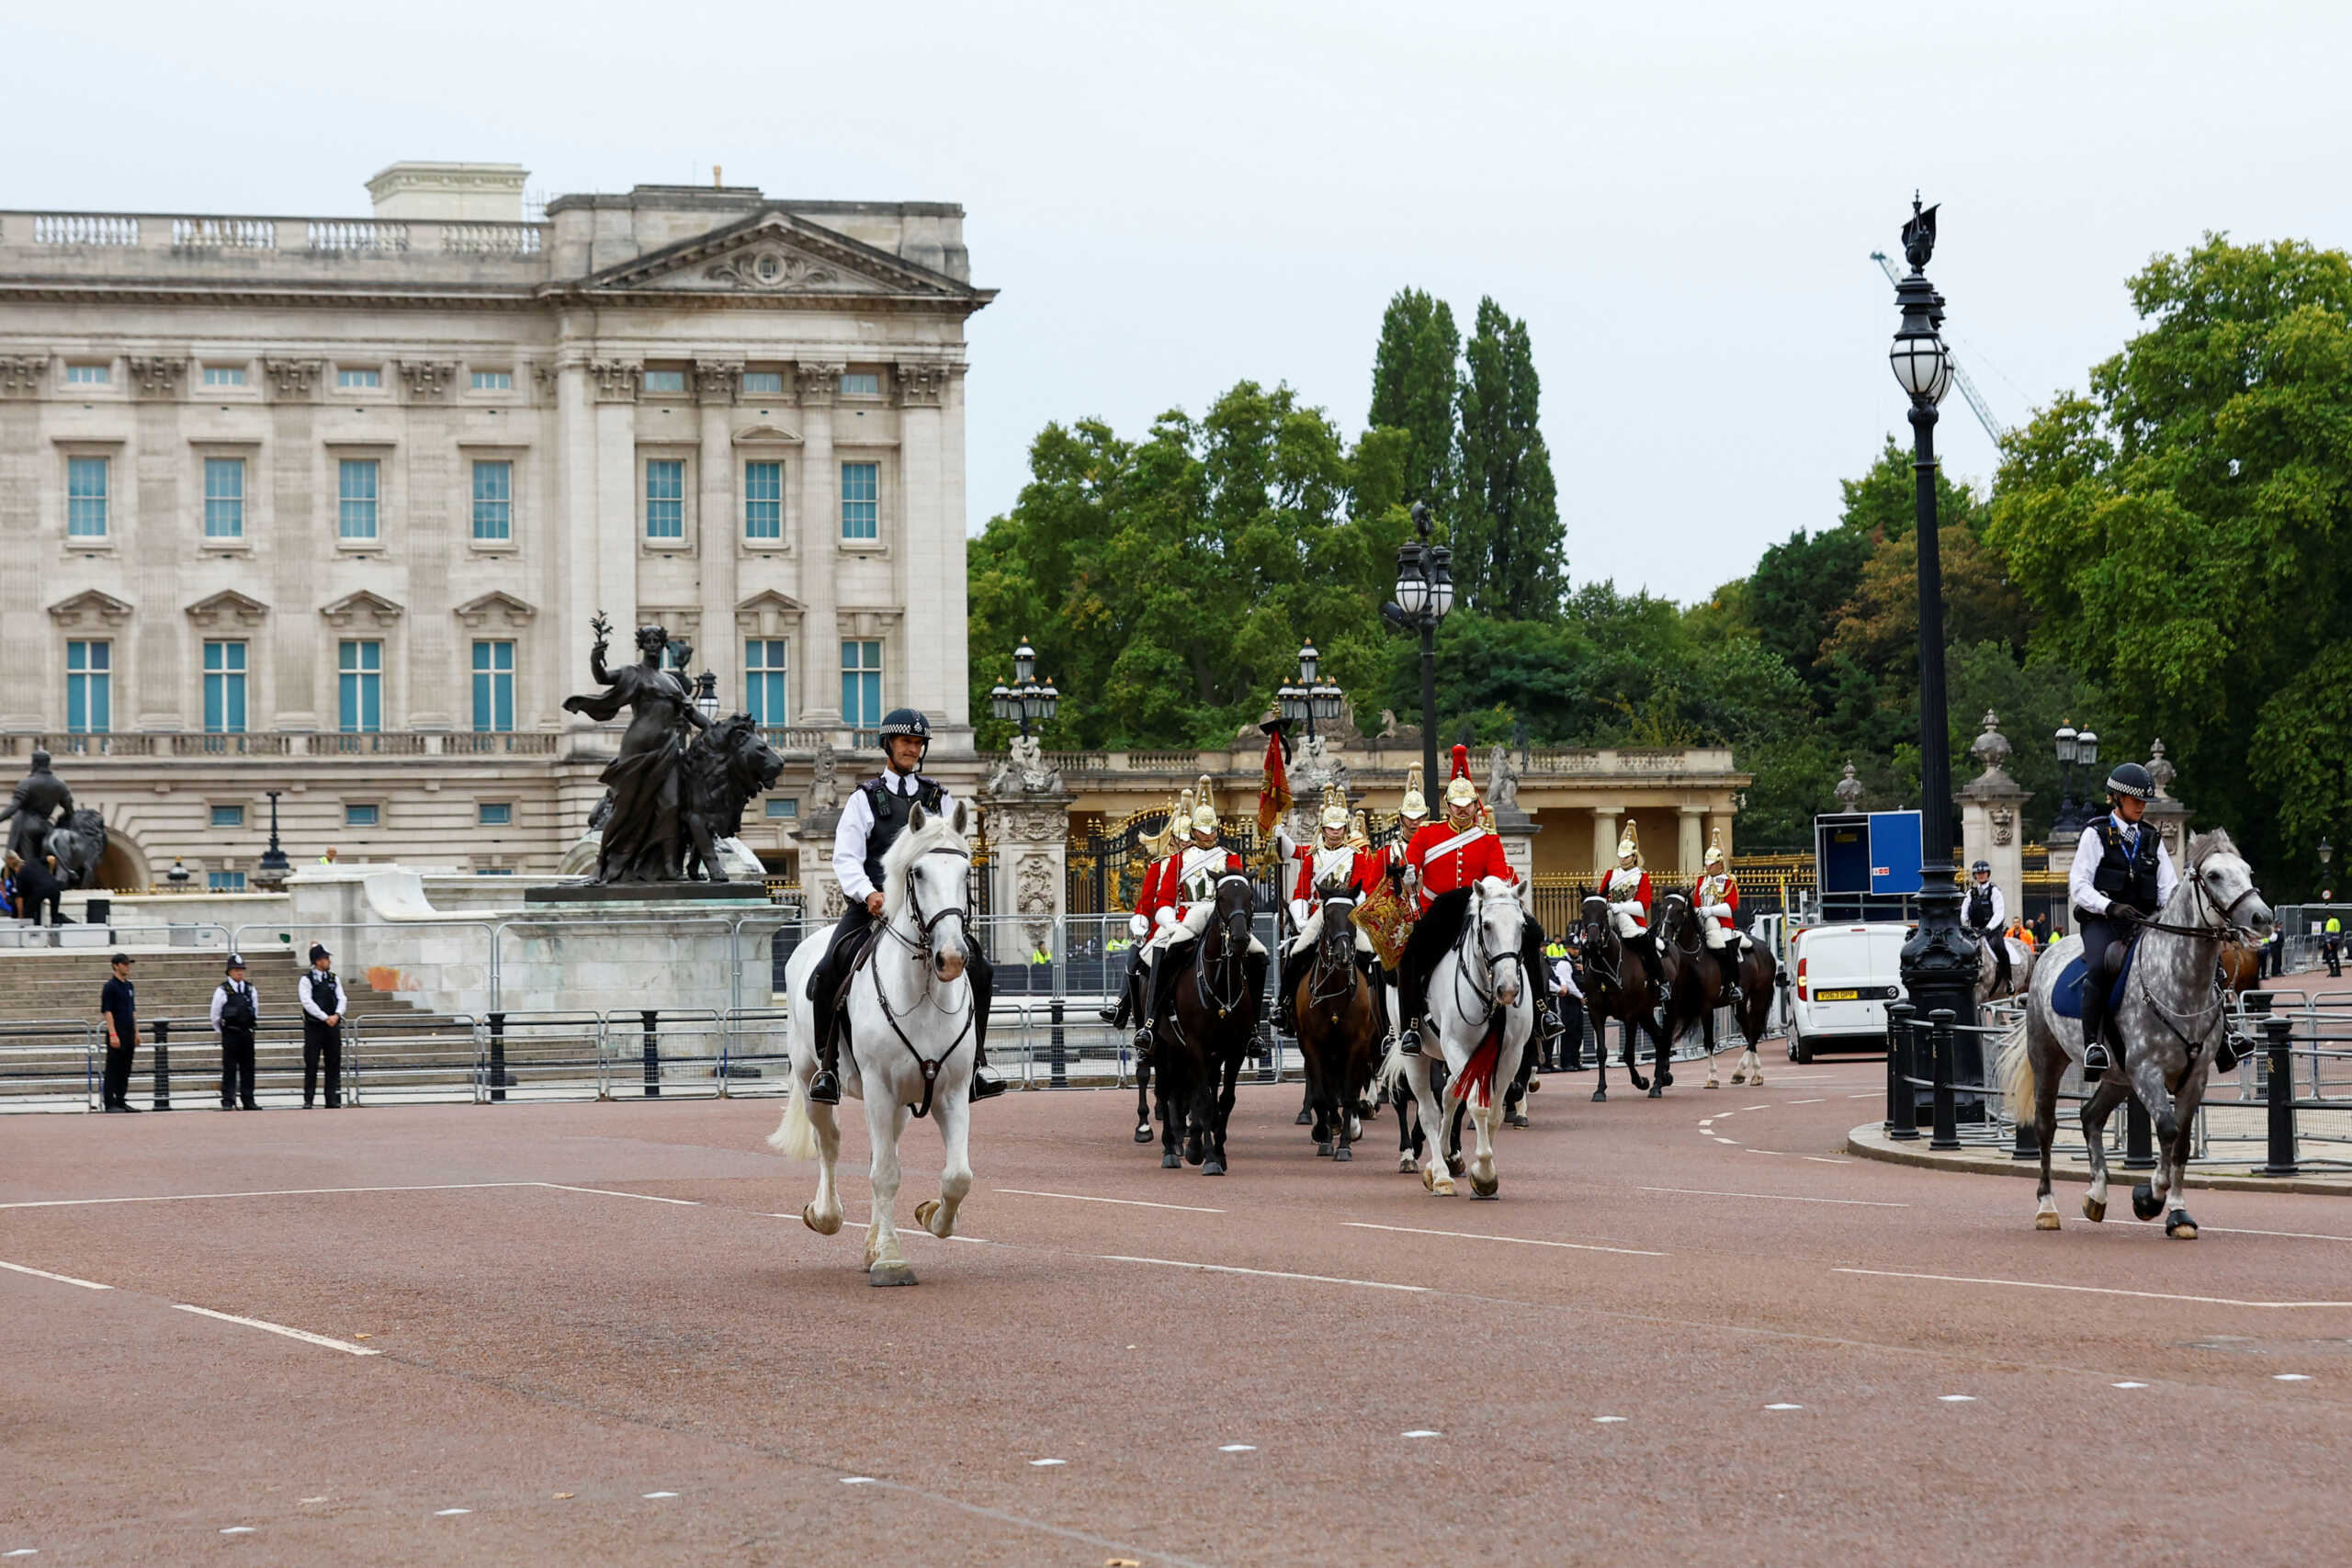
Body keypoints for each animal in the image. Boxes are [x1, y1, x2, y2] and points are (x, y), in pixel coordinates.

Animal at [771, 799, 973, 1288]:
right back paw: (826, 1215)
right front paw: (892, 1261)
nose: (951, 958)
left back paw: (873, 1242)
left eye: (966, 870)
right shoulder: (879, 1090)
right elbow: (884, 1174)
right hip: (813, 1079)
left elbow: (957, 1175)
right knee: (830, 1144)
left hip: (900, 1102)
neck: (923, 995)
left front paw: (933, 1217)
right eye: (918, 872)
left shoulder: (952, 1092)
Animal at [1374, 884, 1533, 1203]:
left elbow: (1493, 1111)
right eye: (1487, 925)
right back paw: (1440, 1175)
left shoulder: (1510, 1055)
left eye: (1522, 926)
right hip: (1417, 1054)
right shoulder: (1457, 1047)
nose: (1509, 989)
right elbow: (1476, 1104)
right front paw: (1484, 1173)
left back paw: (1445, 1159)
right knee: (1428, 1110)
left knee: (1448, 1094)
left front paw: (1482, 1173)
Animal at [1994, 827, 2267, 1241]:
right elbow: (2167, 1130)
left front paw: (2178, 1213)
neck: (2178, 983)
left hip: (2117, 1076)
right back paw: (2047, 1208)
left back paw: (2096, 1195)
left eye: (2248, 870)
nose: (2262, 917)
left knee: (2090, 1116)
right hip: (2049, 1060)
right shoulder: (2147, 1072)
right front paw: (2149, 1197)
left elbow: (2181, 1143)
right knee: (2045, 1126)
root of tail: (2046, 954)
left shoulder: (2194, 1077)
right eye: (2215, 875)